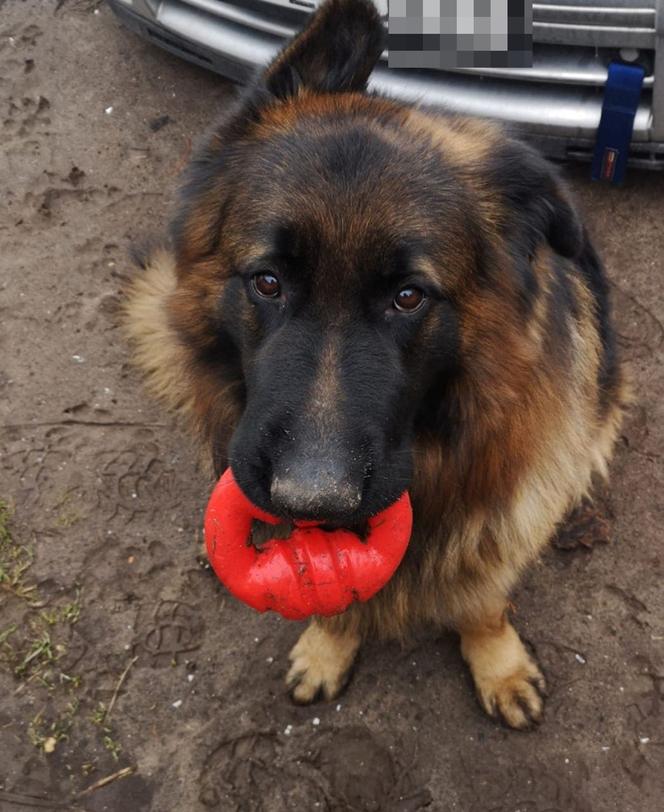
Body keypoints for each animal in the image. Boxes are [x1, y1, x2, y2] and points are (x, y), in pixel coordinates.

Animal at [126, 0, 628, 728]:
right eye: (268, 282)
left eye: (408, 297)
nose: (313, 500)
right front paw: (328, 645)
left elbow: (483, 601)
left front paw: (499, 665)